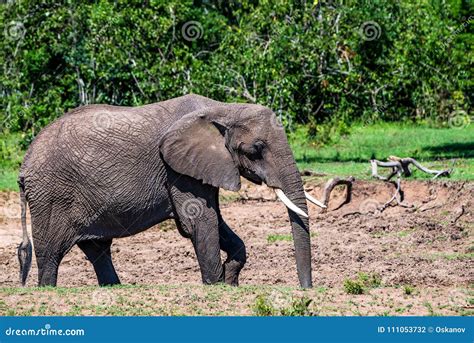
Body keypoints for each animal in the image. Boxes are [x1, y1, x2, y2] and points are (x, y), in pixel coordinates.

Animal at [16, 93, 324, 288]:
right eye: (255, 150)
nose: (306, 289)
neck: (223, 108)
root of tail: (25, 163)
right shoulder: (176, 170)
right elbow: (199, 220)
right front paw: (216, 284)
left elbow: (217, 221)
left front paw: (230, 279)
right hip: (51, 196)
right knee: (50, 254)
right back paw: (48, 288)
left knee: (97, 248)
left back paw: (115, 288)